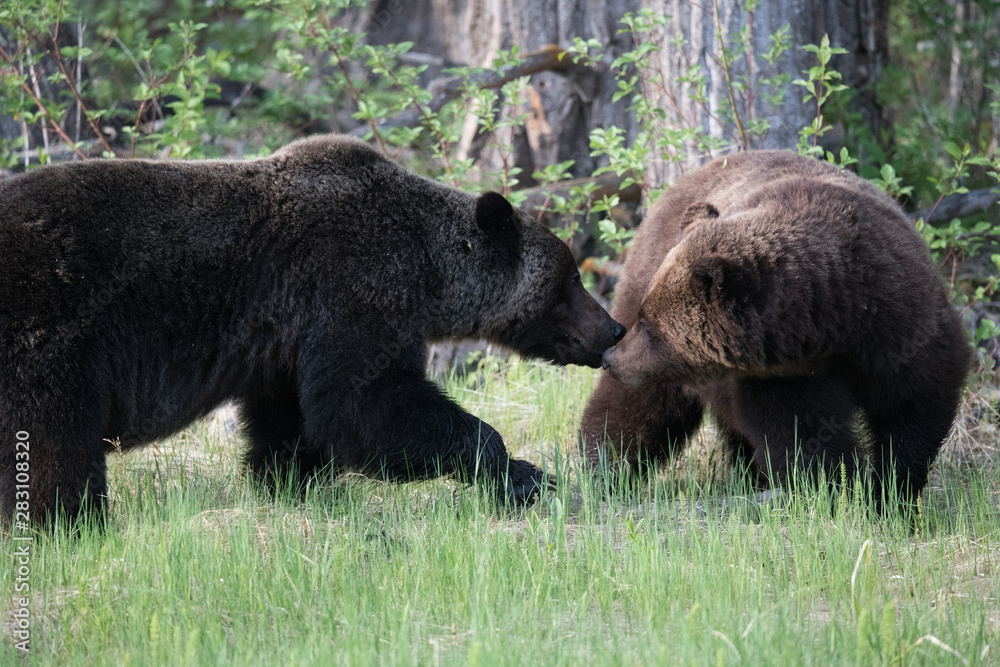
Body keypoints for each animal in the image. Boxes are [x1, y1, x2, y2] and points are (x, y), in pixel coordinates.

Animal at [0, 136, 624, 528]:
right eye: (569, 280)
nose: (613, 329)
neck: (427, 270)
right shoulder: (353, 284)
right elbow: (364, 403)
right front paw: (524, 475)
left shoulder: (285, 341)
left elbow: (294, 421)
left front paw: (293, 486)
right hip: (50, 335)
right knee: (54, 441)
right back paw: (71, 523)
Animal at [584, 151, 972, 506]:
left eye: (649, 326)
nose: (611, 357)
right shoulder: (782, 375)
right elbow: (803, 433)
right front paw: (836, 492)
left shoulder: (900, 325)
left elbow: (913, 407)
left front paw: (890, 493)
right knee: (635, 408)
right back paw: (602, 469)